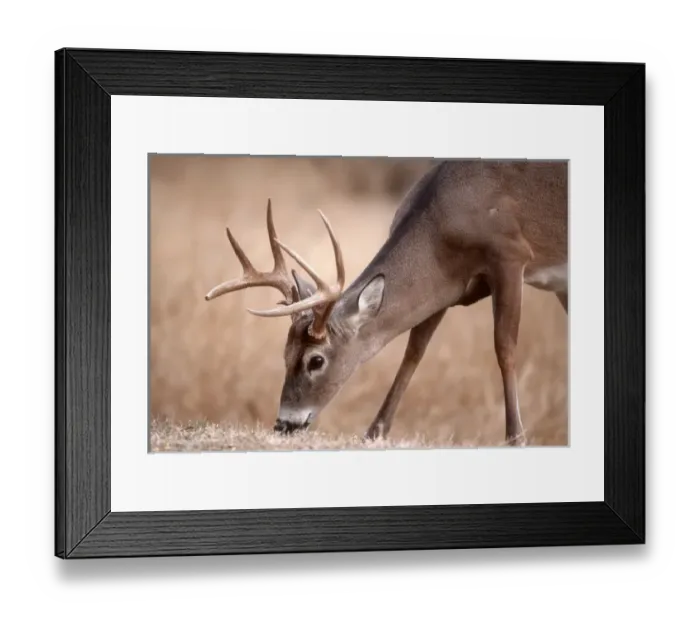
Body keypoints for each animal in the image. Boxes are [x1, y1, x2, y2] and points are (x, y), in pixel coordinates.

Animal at [204, 159, 568, 446]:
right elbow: (413, 353)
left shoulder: (510, 255)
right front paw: (375, 432)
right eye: (285, 354)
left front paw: (516, 436)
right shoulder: (445, 288)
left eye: (315, 360)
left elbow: (504, 347)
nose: (284, 424)